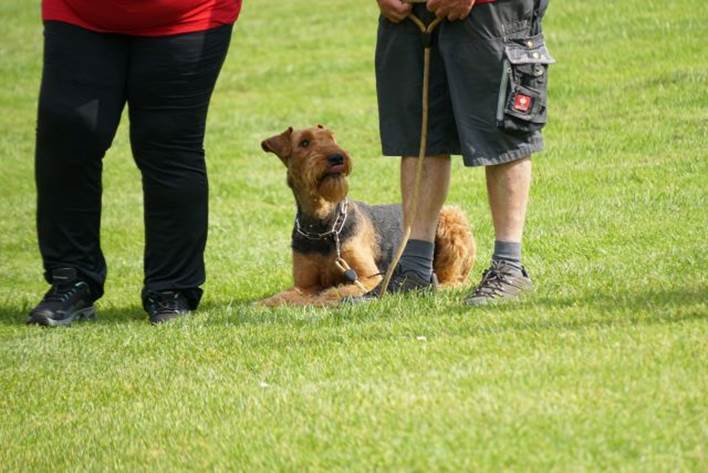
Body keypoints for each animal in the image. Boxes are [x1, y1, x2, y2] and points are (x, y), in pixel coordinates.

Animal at [258, 124, 472, 306]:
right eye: (304, 142)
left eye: (331, 138)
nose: (338, 157)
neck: (324, 224)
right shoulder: (305, 284)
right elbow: (278, 298)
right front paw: (261, 306)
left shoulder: (367, 277)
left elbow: (333, 292)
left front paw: (320, 302)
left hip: (453, 220)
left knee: (456, 280)